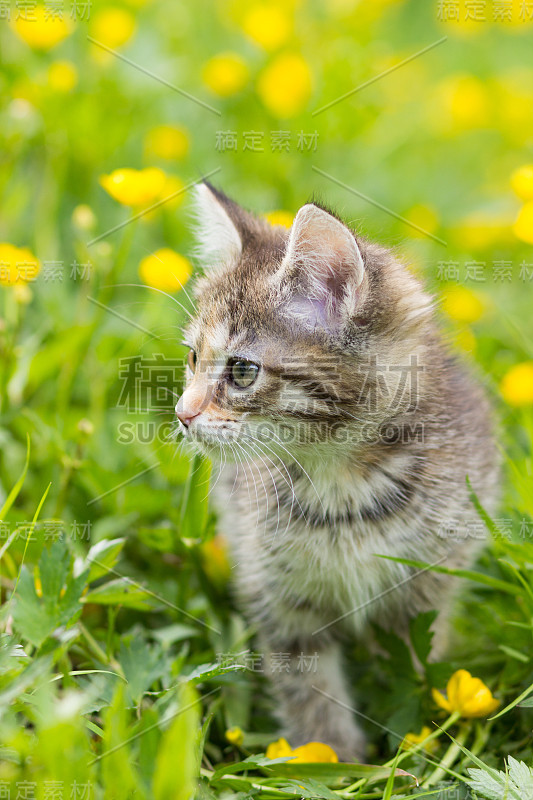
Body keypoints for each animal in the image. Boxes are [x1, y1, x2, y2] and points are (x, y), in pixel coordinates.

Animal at [176, 183, 498, 764]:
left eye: (242, 370)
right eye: (192, 357)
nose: (182, 414)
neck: (342, 478)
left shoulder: (429, 581)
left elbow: (416, 661)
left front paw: (417, 742)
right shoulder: (278, 592)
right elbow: (307, 682)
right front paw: (331, 758)